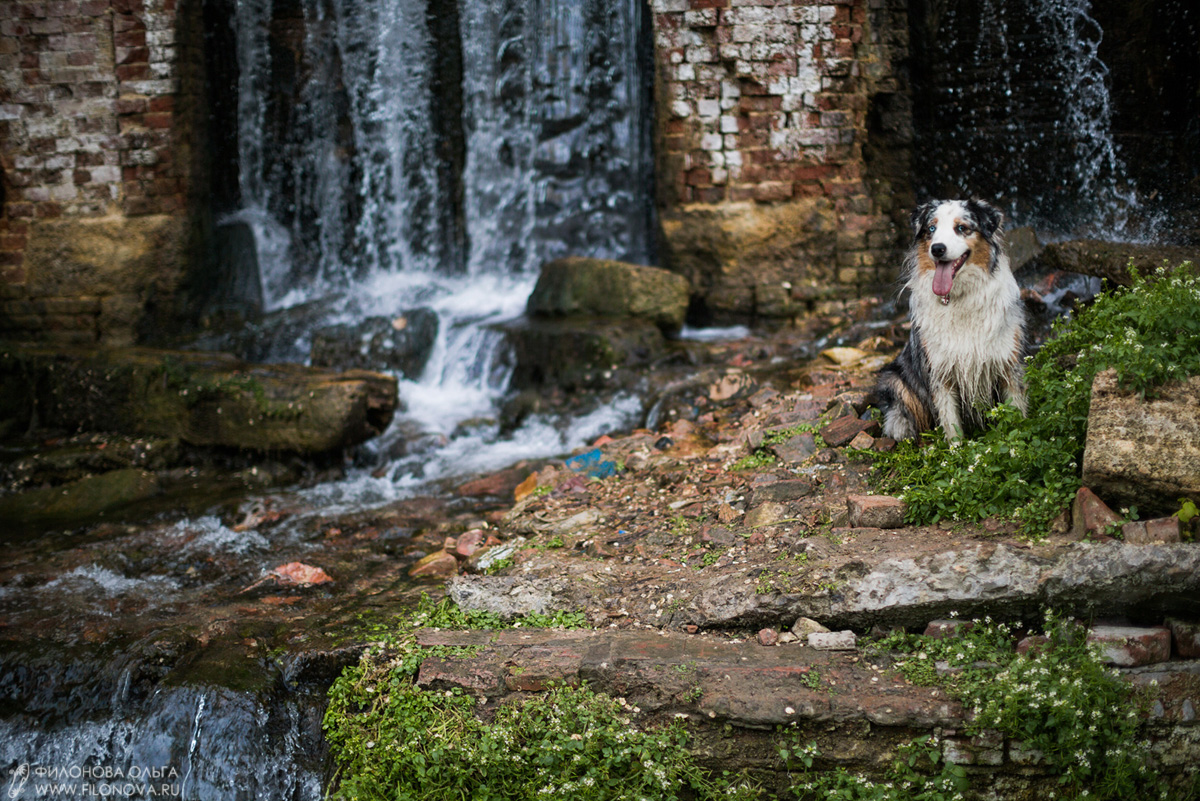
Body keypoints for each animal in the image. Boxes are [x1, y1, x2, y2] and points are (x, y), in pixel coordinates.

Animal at [873, 196, 1032, 441]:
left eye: (961, 228)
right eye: (931, 229)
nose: (937, 249)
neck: (958, 296)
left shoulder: (1008, 362)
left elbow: (1016, 413)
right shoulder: (939, 371)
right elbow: (951, 424)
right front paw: (956, 449)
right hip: (895, 380)